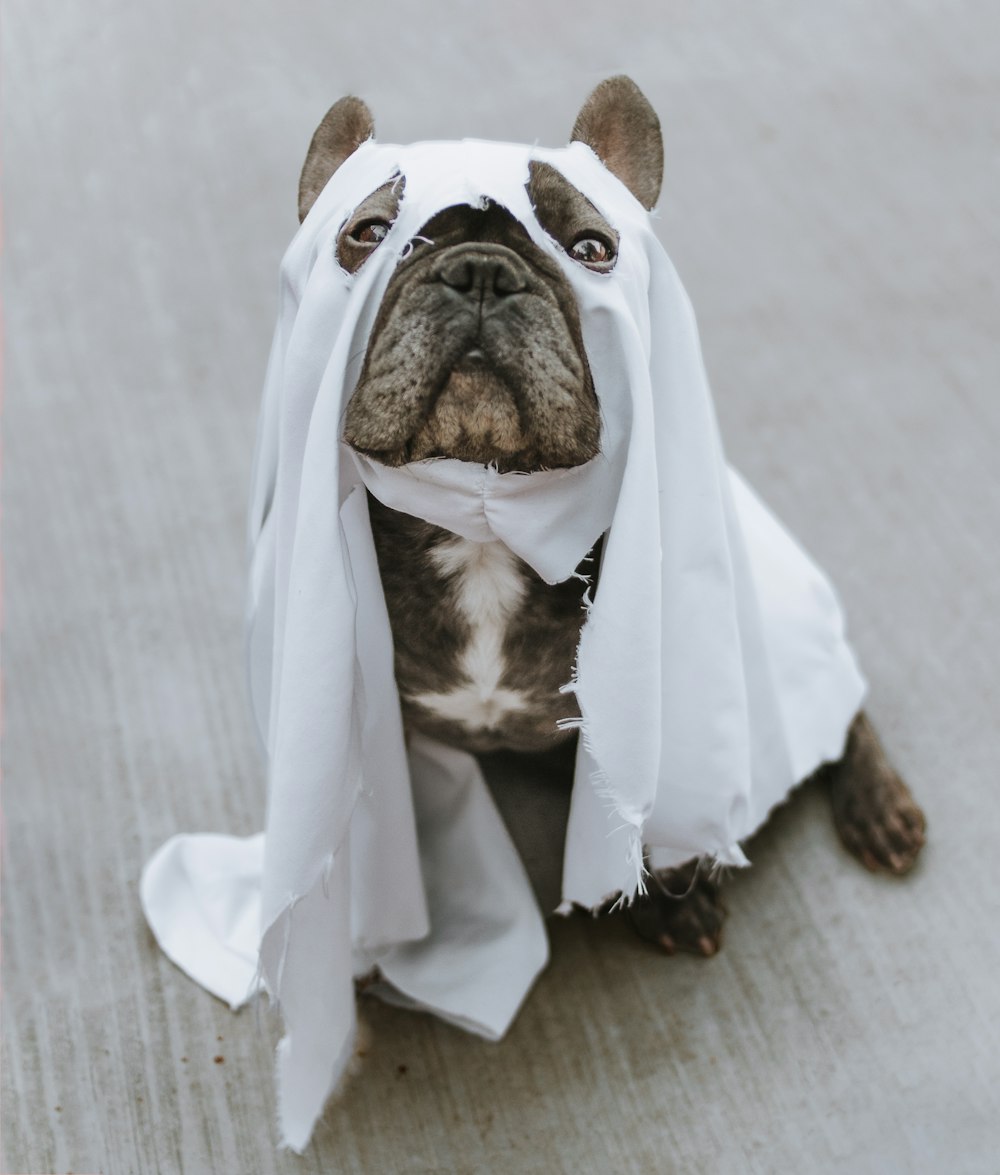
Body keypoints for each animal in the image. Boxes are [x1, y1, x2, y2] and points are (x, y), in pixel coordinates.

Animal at [293, 71, 925, 954]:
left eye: (592, 249)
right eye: (371, 233)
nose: (482, 271)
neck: (482, 531)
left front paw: (668, 893)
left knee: (833, 702)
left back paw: (878, 805)